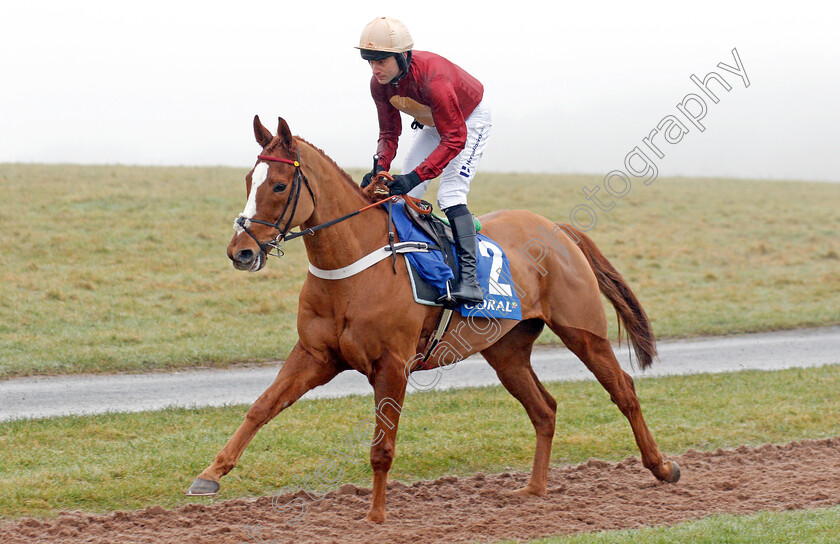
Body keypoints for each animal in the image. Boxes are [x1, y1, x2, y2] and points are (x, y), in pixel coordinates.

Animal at [187, 115, 680, 524]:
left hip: (583, 331)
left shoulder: (392, 365)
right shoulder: (316, 355)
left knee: (624, 392)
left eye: (278, 185)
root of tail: (557, 228)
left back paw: (661, 466)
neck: (352, 268)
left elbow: (382, 447)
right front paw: (210, 473)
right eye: (248, 179)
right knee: (544, 409)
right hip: (506, 350)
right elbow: (261, 407)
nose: (240, 252)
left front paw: (376, 515)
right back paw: (534, 488)